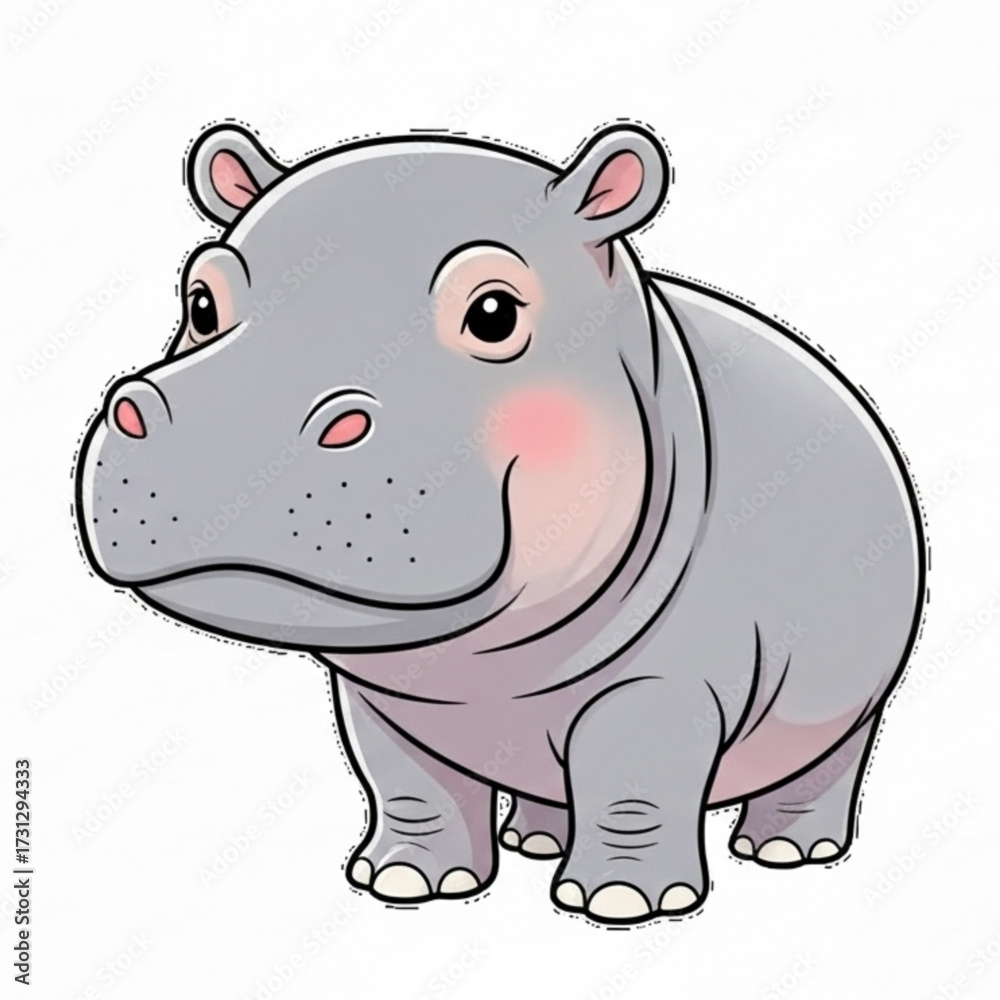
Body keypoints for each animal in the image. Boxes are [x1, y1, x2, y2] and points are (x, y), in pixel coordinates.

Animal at [74, 122, 925, 924]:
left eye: (494, 313)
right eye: (200, 302)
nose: (231, 422)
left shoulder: (664, 682)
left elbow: (634, 783)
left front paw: (621, 902)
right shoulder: (384, 699)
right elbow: (408, 785)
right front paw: (406, 881)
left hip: (856, 696)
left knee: (825, 763)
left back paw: (788, 849)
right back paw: (536, 839)